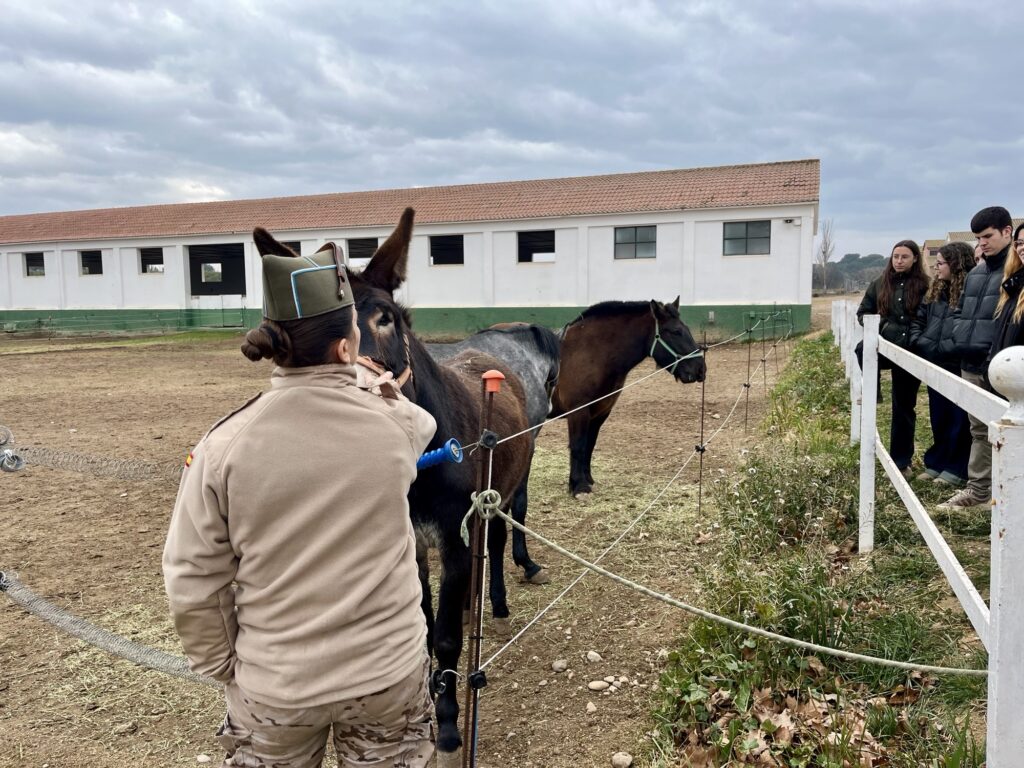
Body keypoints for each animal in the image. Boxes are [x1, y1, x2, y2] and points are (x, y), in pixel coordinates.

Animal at [256, 209, 531, 755]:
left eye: (385, 317)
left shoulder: (453, 537)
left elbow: (444, 636)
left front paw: (447, 724)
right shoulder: (409, 539)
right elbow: (423, 621)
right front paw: (429, 696)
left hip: (501, 493)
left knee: (495, 540)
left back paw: (493, 603)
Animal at [551, 298, 706, 497]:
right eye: (676, 331)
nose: (701, 369)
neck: (588, 353)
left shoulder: (600, 413)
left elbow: (589, 445)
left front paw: (587, 480)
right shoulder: (578, 413)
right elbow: (578, 446)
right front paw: (579, 486)